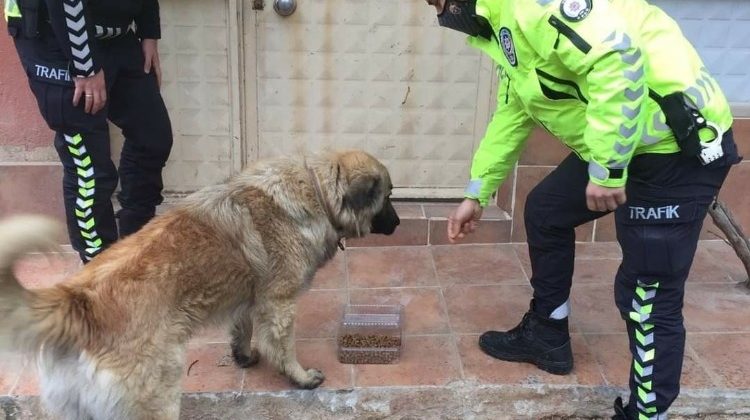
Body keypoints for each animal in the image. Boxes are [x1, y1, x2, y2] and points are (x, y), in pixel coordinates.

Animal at [0, 151, 400, 420]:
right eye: (388, 196)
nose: (397, 224)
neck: (315, 192)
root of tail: (79, 302)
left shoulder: (250, 299)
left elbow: (243, 331)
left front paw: (244, 357)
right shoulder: (279, 303)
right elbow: (283, 347)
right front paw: (300, 378)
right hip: (158, 395)